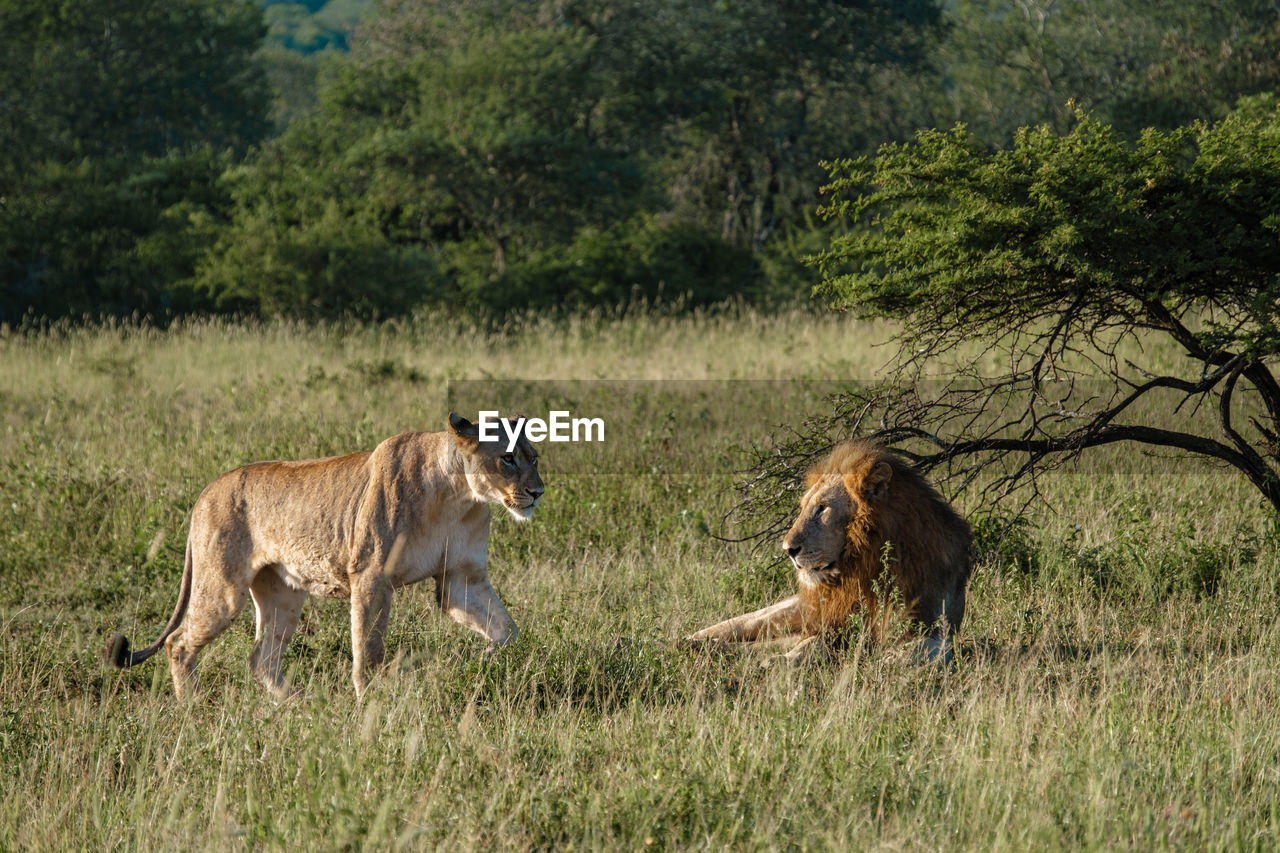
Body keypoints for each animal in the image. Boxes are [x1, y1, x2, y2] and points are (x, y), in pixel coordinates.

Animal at [101, 412, 540, 696]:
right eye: (507, 457)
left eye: (534, 457)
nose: (538, 491)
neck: (459, 495)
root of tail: (207, 490)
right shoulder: (371, 574)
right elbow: (368, 650)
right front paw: (372, 705)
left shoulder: (461, 578)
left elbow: (507, 629)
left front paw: (482, 662)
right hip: (223, 590)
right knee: (179, 643)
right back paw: (192, 708)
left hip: (282, 596)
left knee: (262, 658)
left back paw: (298, 706)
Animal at [691, 438, 967, 666]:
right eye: (803, 507)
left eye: (822, 508)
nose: (788, 550)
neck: (865, 567)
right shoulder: (836, 622)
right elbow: (813, 642)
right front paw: (782, 661)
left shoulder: (932, 623)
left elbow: (929, 649)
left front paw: (883, 661)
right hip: (794, 610)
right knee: (745, 624)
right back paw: (691, 641)